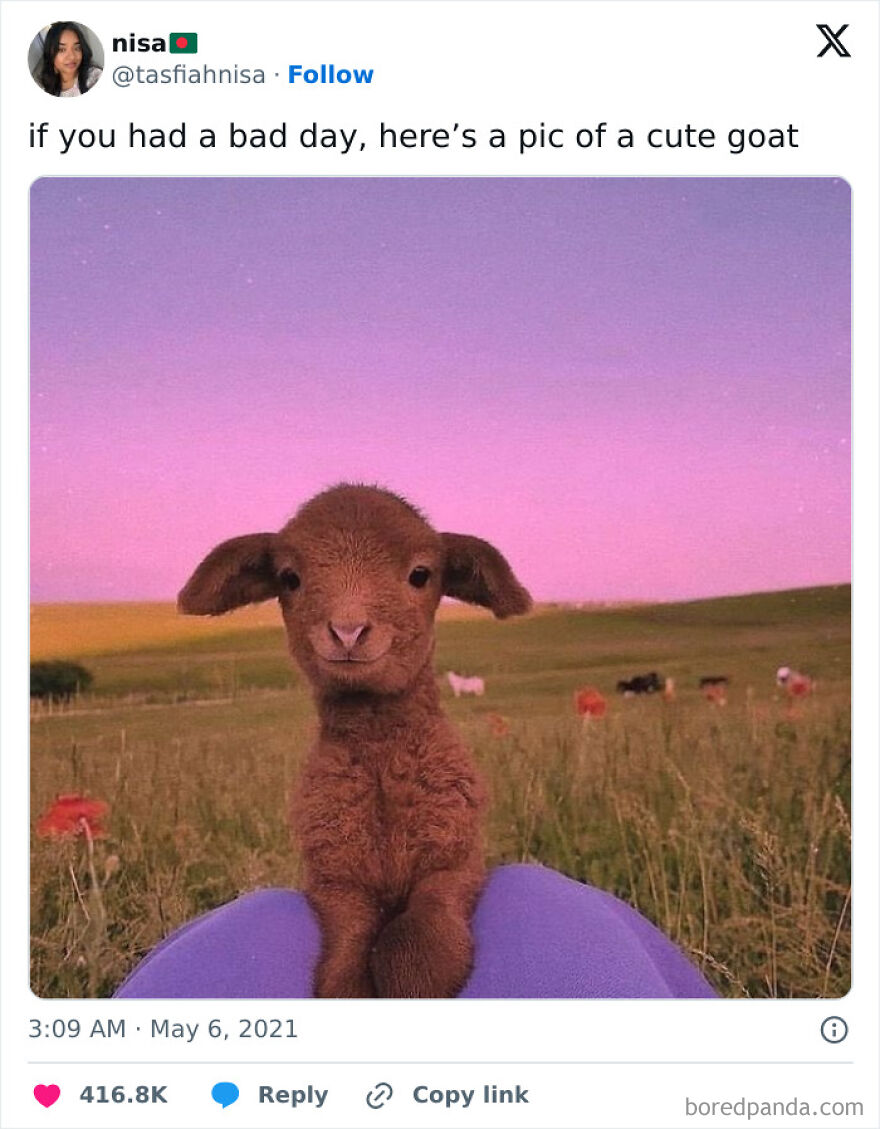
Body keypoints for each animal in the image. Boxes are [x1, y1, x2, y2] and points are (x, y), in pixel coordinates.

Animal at [178, 484, 532, 998]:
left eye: (421, 574)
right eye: (289, 578)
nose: (348, 630)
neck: (381, 761)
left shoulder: (454, 862)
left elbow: (413, 945)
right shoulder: (335, 882)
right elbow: (347, 958)